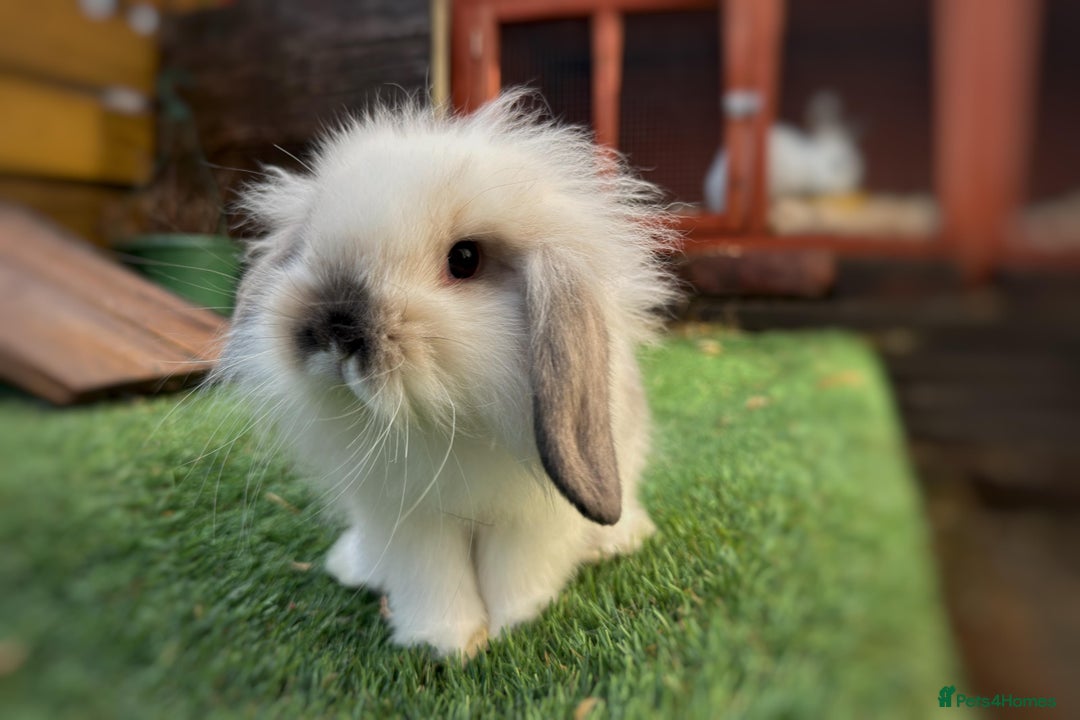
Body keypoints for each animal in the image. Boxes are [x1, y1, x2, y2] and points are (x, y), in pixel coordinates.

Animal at [215, 90, 679, 659]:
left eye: (465, 259)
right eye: (308, 247)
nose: (335, 327)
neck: (447, 419)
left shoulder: (529, 517)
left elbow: (515, 572)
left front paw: (515, 625)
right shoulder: (408, 519)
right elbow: (432, 578)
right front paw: (445, 642)